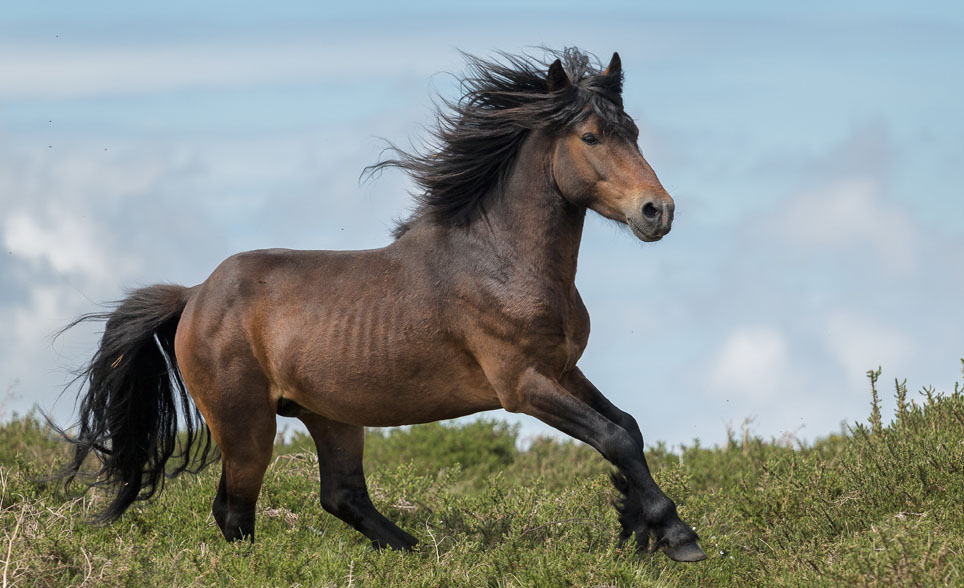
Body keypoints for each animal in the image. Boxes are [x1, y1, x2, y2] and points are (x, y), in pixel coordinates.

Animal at [58, 48, 708, 564]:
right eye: (591, 136)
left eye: (634, 131)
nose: (658, 211)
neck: (500, 259)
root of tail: (194, 296)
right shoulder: (522, 384)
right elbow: (614, 437)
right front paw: (676, 537)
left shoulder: (564, 369)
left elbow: (628, 427)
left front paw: (635, 525)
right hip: (247, 425)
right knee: (235, 512)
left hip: (332, 416)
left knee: (342, 495)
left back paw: (417, 552)